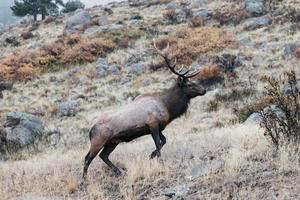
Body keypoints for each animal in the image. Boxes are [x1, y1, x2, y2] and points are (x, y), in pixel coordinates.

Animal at [83, 43, 207, 179]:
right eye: (190, 85)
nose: (204, 90)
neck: (167, 107)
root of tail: (90, 129)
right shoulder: (152, 124)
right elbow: (158, 143)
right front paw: (159, 161)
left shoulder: (158, 126)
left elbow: (163, 141)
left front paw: (151, 155)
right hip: (98, 141)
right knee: (87, 158)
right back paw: (84, 180)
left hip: (113, 141)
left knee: (103, 155)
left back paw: (119, 172)